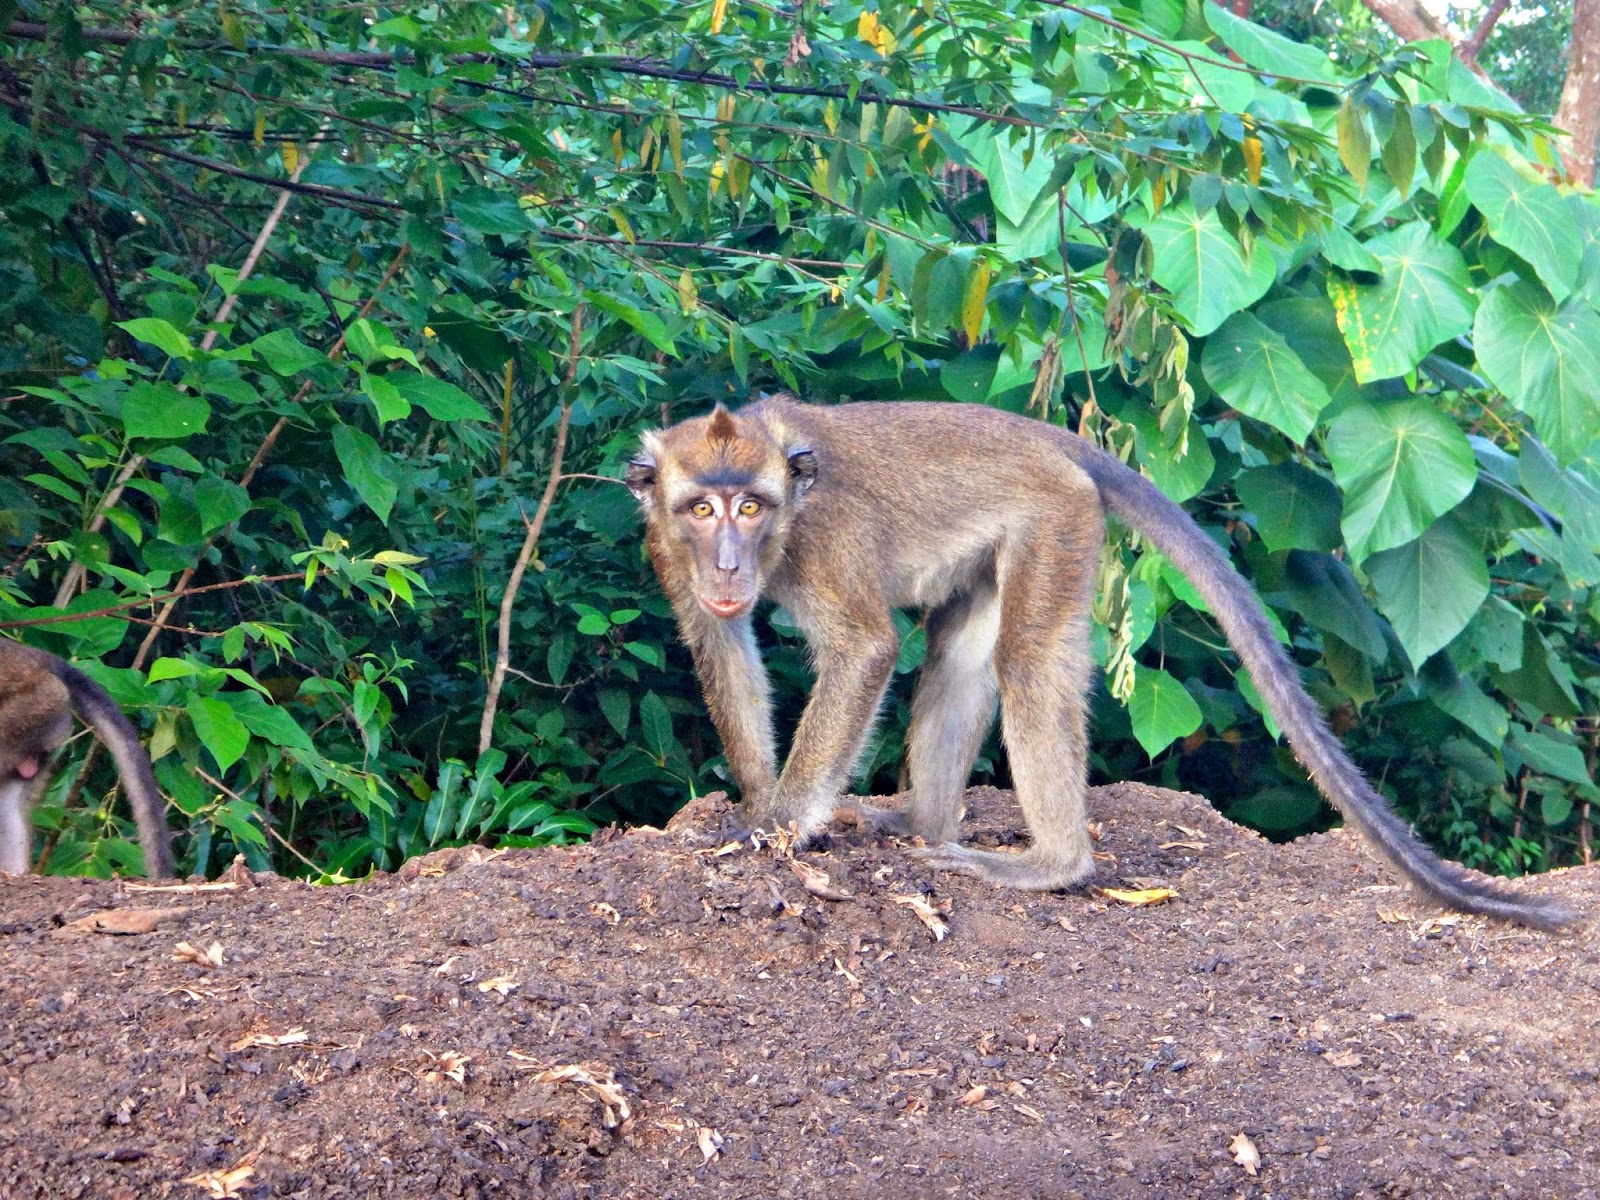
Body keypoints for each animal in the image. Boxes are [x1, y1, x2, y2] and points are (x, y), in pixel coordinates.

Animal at [625, 395, 1572, 930]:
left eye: (752, 507)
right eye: (703, 508)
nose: (729, 565)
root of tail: (1053, 442)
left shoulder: (823, 539)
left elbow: (864, 650)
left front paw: (779, 825)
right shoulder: (665, 548)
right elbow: (719, 644)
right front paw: (758, 803)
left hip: (1057, 521)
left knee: (1027, 660)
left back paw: (1055, 865)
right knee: (967, 655)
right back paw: (924, 820)